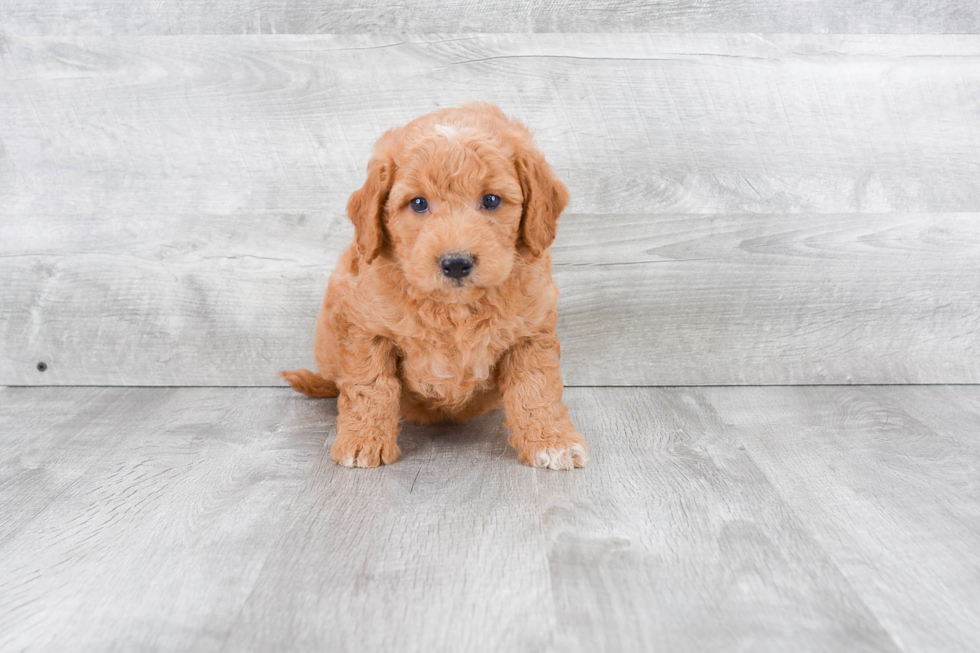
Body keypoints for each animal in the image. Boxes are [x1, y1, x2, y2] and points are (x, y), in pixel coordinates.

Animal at [284, 100, 588, 468]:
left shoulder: (529, 334)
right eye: (418, 203)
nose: (456, 263)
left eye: (491, 200)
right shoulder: (367, 330)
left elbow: (536, 388)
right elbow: (371, 386)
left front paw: (553, 441)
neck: (455, 308)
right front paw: (363, 441)